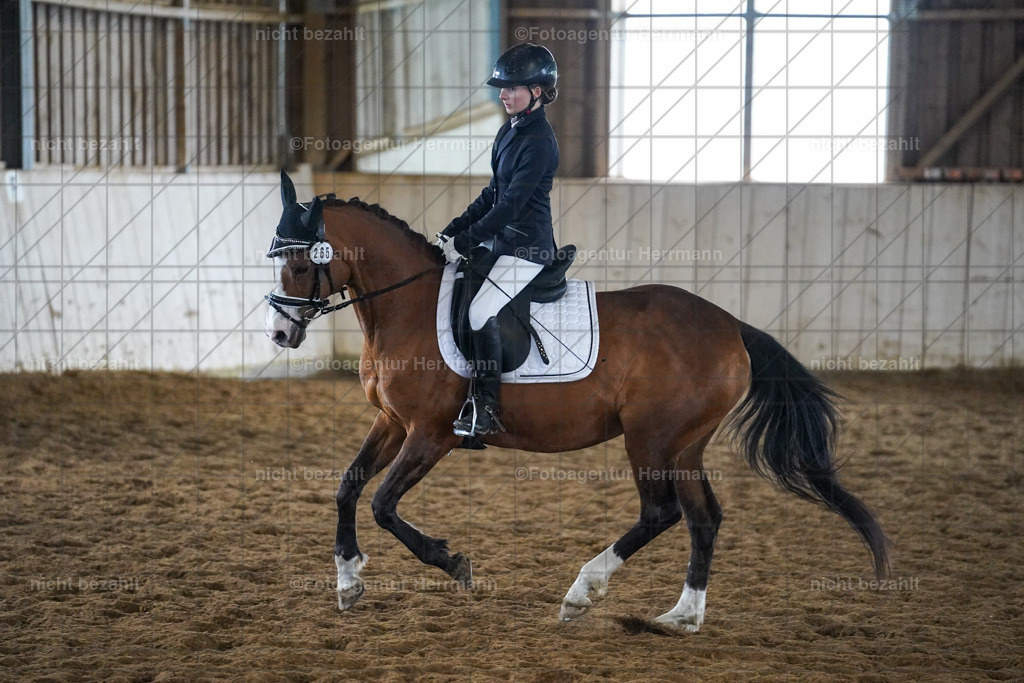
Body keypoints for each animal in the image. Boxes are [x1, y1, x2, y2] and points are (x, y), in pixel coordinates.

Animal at [264, 172, 889, 632]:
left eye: (299, 263)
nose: (280, 335)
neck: (407, 307)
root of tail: (731, 325)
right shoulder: (392, 420)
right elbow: (348, 486)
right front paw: (348, 580)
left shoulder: (431, 433)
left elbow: (383, 504)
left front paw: (453, 563)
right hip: (684, 444)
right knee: (703, 517)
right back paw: (682, 616)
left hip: (651, 437)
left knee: (661, 513)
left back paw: (583, 591)